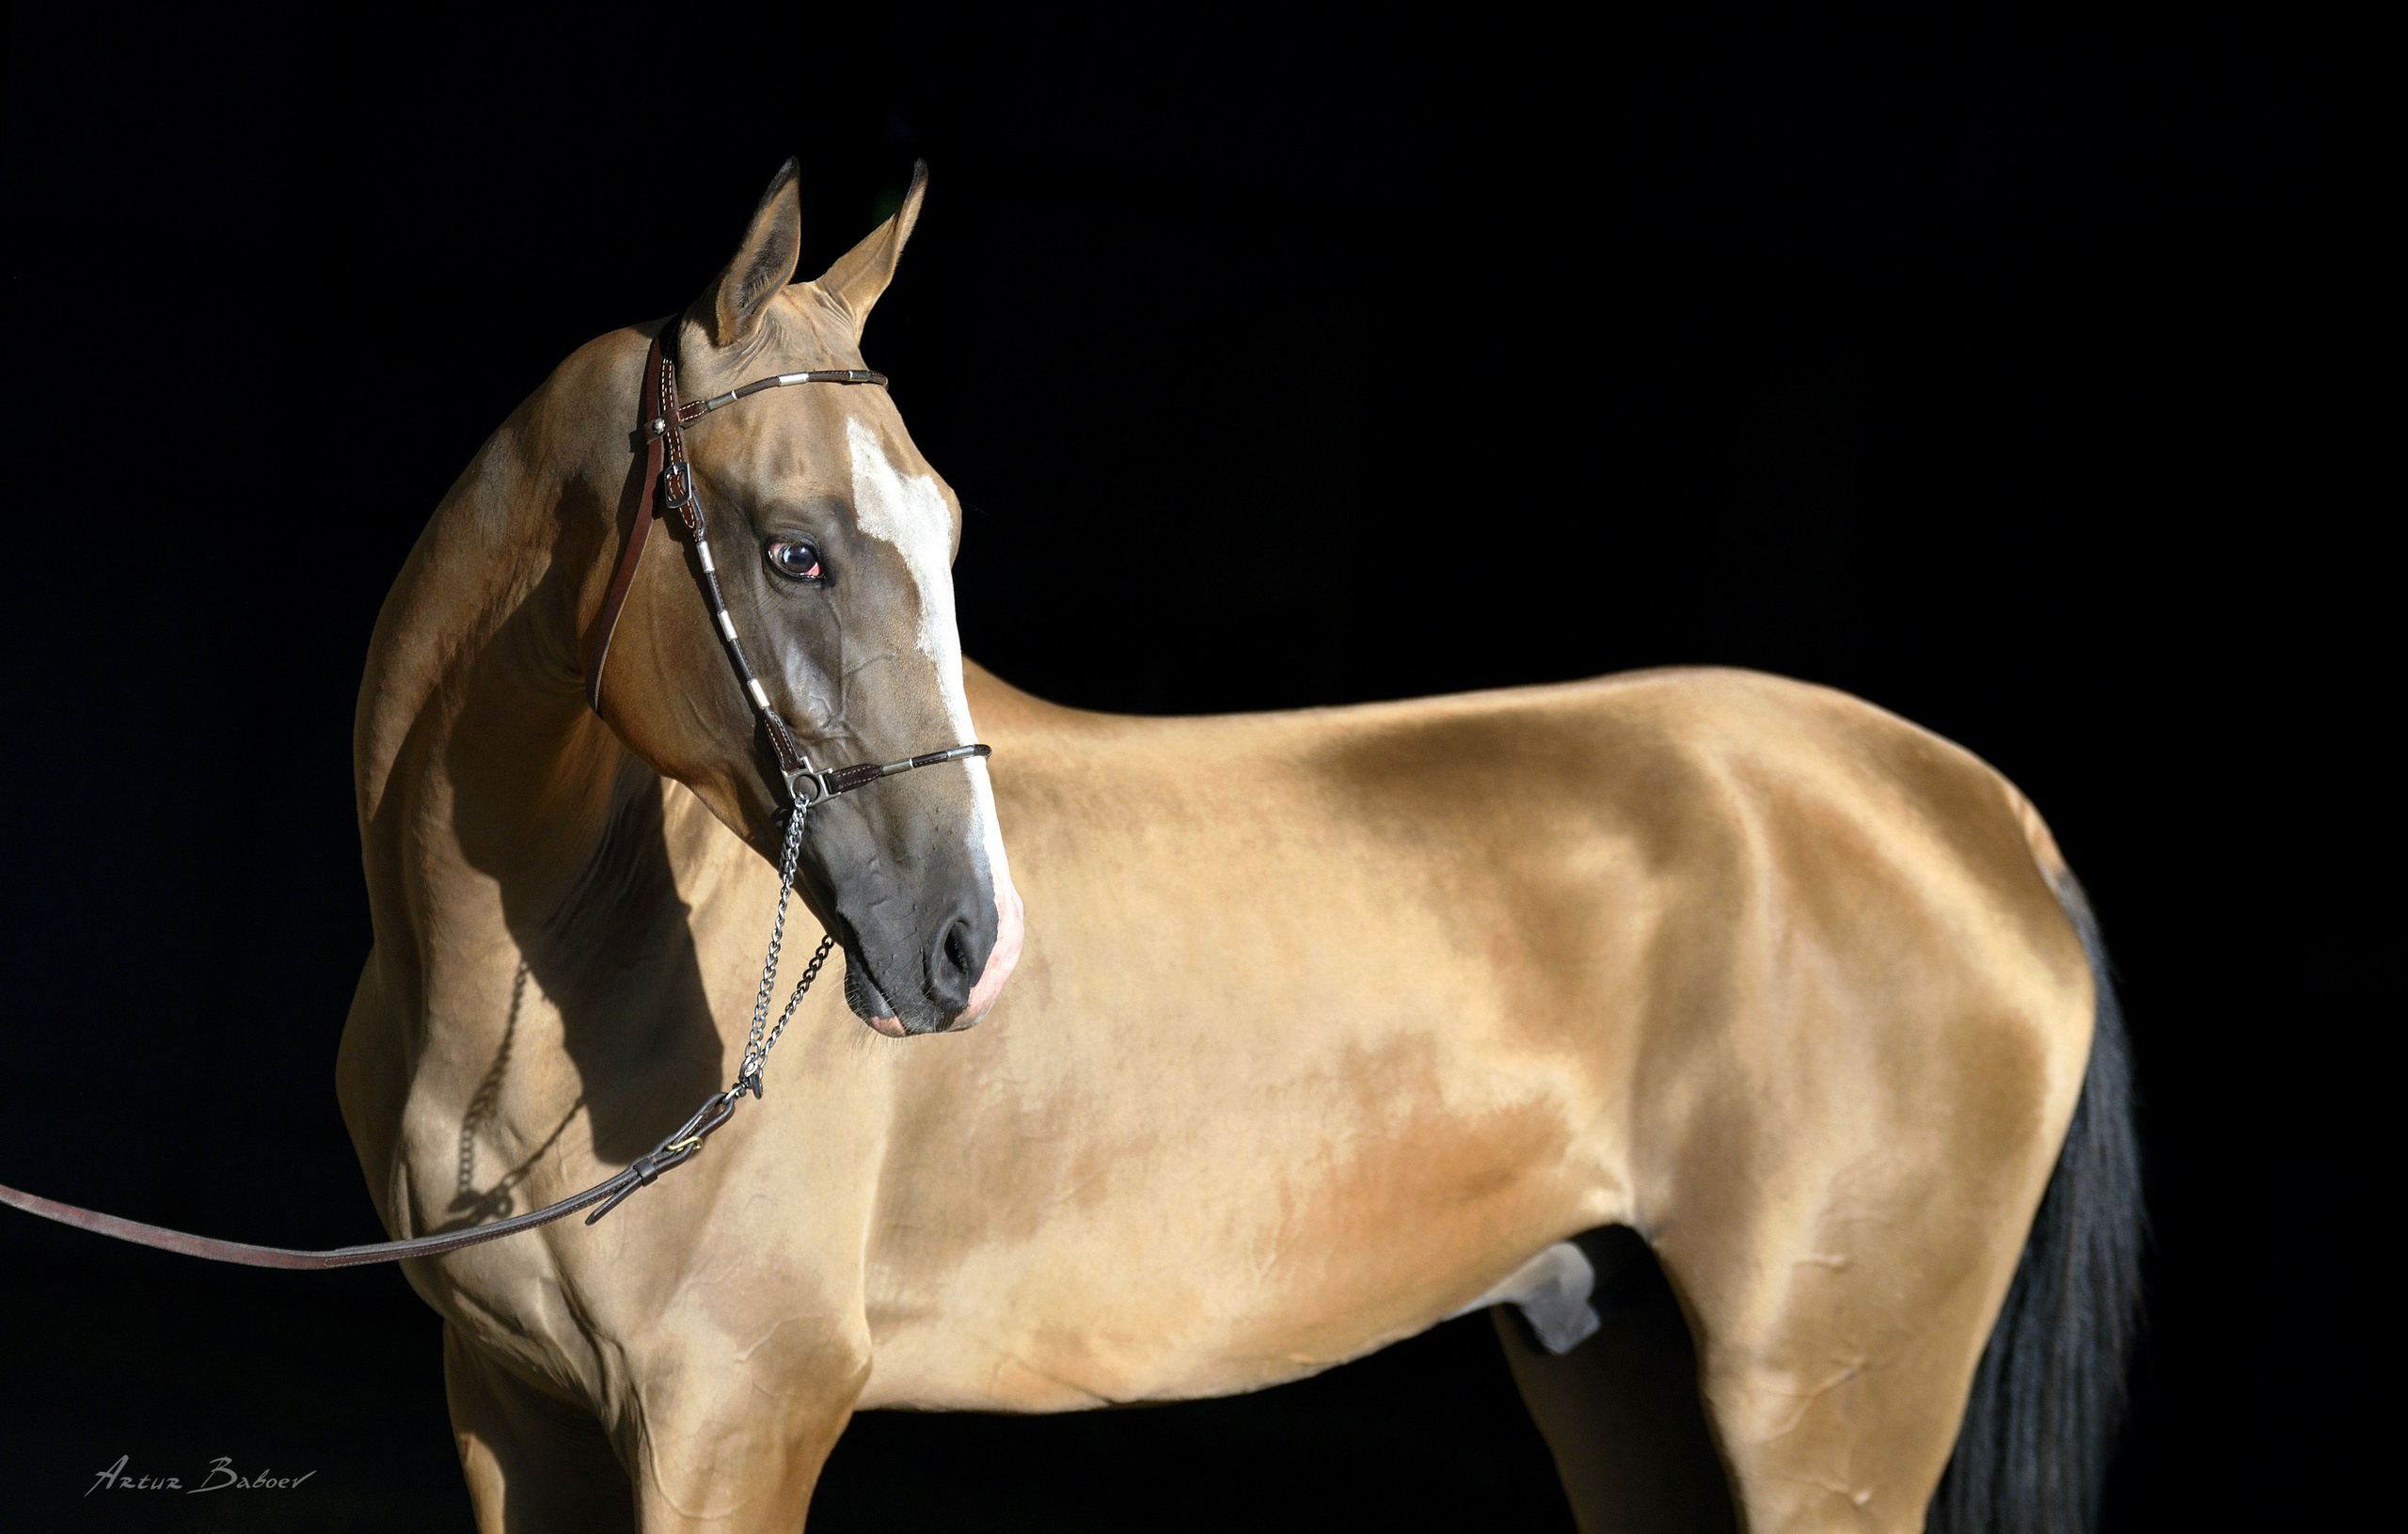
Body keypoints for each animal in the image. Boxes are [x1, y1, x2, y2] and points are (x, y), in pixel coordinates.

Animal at [339, 158, 2142, 1533]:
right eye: (793, 551)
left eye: (942, 531)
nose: (967, 944)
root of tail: (1977, 811)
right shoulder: (517, 1415)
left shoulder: (733, 1415)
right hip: (1620, 1370)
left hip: (1820, 1424)